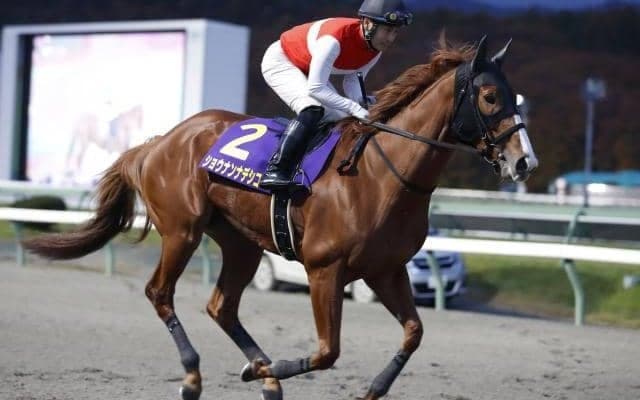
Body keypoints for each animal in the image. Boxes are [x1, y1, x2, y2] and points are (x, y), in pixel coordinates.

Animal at [23, 36, 538, 400]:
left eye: (516, 97)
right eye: (489, 97)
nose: (524, 163)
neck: (382, 174)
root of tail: (159, 141)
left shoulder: (386, 270)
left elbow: (414, 333)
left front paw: (368, 389)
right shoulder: (325, 269)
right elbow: (328, 351)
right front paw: (267, 369)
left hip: (241, 243)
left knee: (221, 306)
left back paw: (264, 376)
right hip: (182, 230)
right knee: (160, 293)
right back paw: (196, 375)